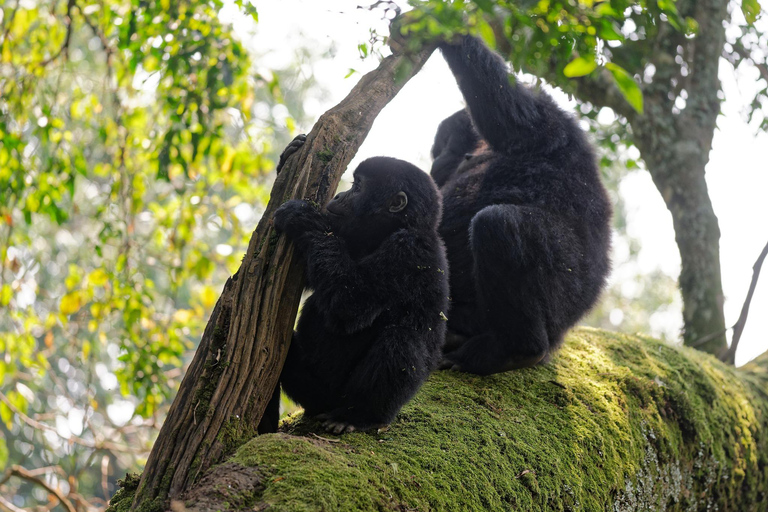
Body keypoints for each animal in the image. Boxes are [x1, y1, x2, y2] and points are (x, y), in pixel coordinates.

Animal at [272, 153, 448, 432]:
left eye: (357, 187)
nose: (338, 195)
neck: (389, 230)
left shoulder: (408, 250)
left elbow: (351, 305)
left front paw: (302, 217)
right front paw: (288, 156)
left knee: (401, 340)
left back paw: (357, 416)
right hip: (315, 392)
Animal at [432, 35, 612, 372]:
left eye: (443, 142)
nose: (437, 156)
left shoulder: (551, 120)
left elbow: (513, 117)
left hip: (562, 297)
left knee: (498, 225)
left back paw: (513, 350)